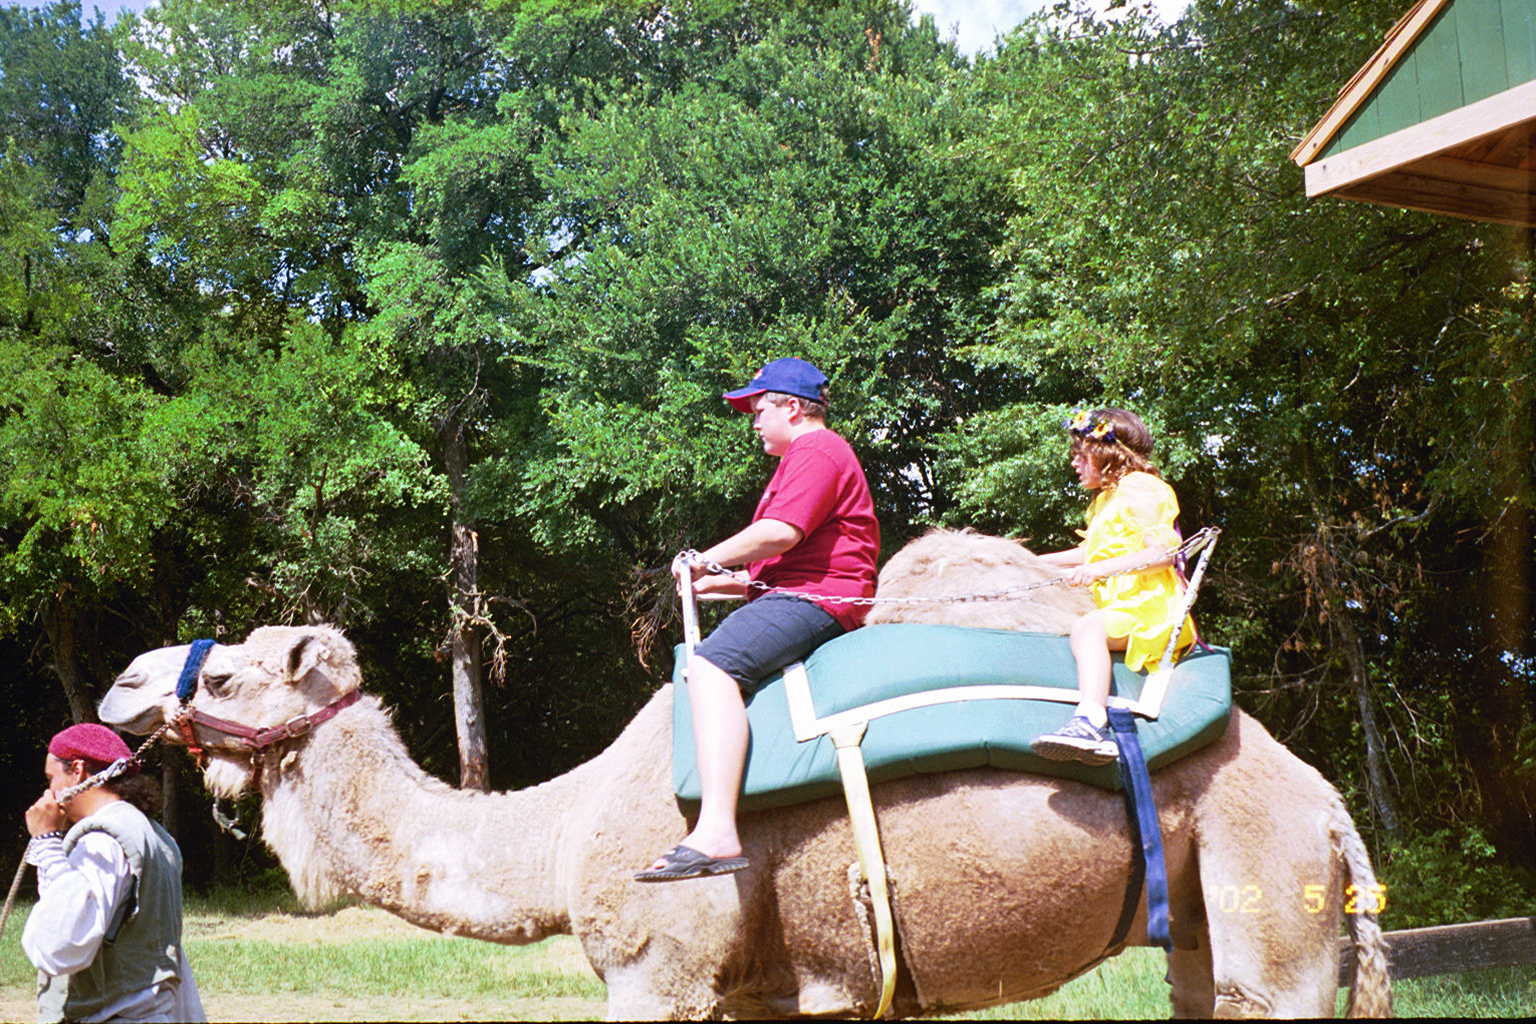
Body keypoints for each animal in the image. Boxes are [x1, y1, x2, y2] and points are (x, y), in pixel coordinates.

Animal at [99, 534, 1394, 1019]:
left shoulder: (654, 968)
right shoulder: (760, 984)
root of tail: (1330, 805)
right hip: (1207, 921)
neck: (563, 827)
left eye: (229, 674)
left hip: (1269, 889)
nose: (118, 687)